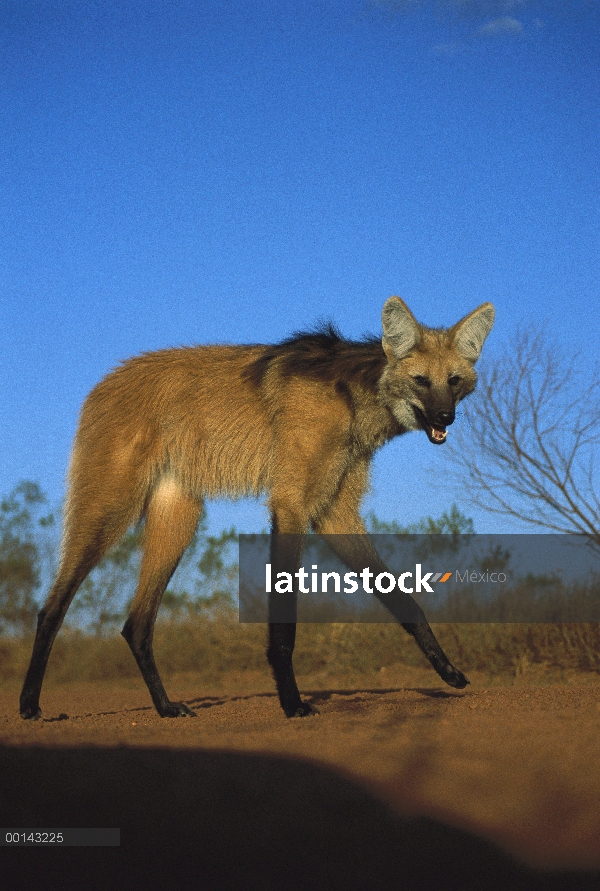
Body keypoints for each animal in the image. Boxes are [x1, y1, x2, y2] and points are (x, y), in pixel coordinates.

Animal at [21, 296, 494, 720]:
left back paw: (166, 707)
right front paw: (292, 704)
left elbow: (405, 602)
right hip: (111, 511)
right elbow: (284, 625)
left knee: (136, 624)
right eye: (421, 380)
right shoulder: (291, 503)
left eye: (453, 380)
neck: (351, 397)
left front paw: (449, 672)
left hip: (179, 518)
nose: (445, 417)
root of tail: (103, 382)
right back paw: (30, 706)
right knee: (52, 607)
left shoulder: (333, 512)